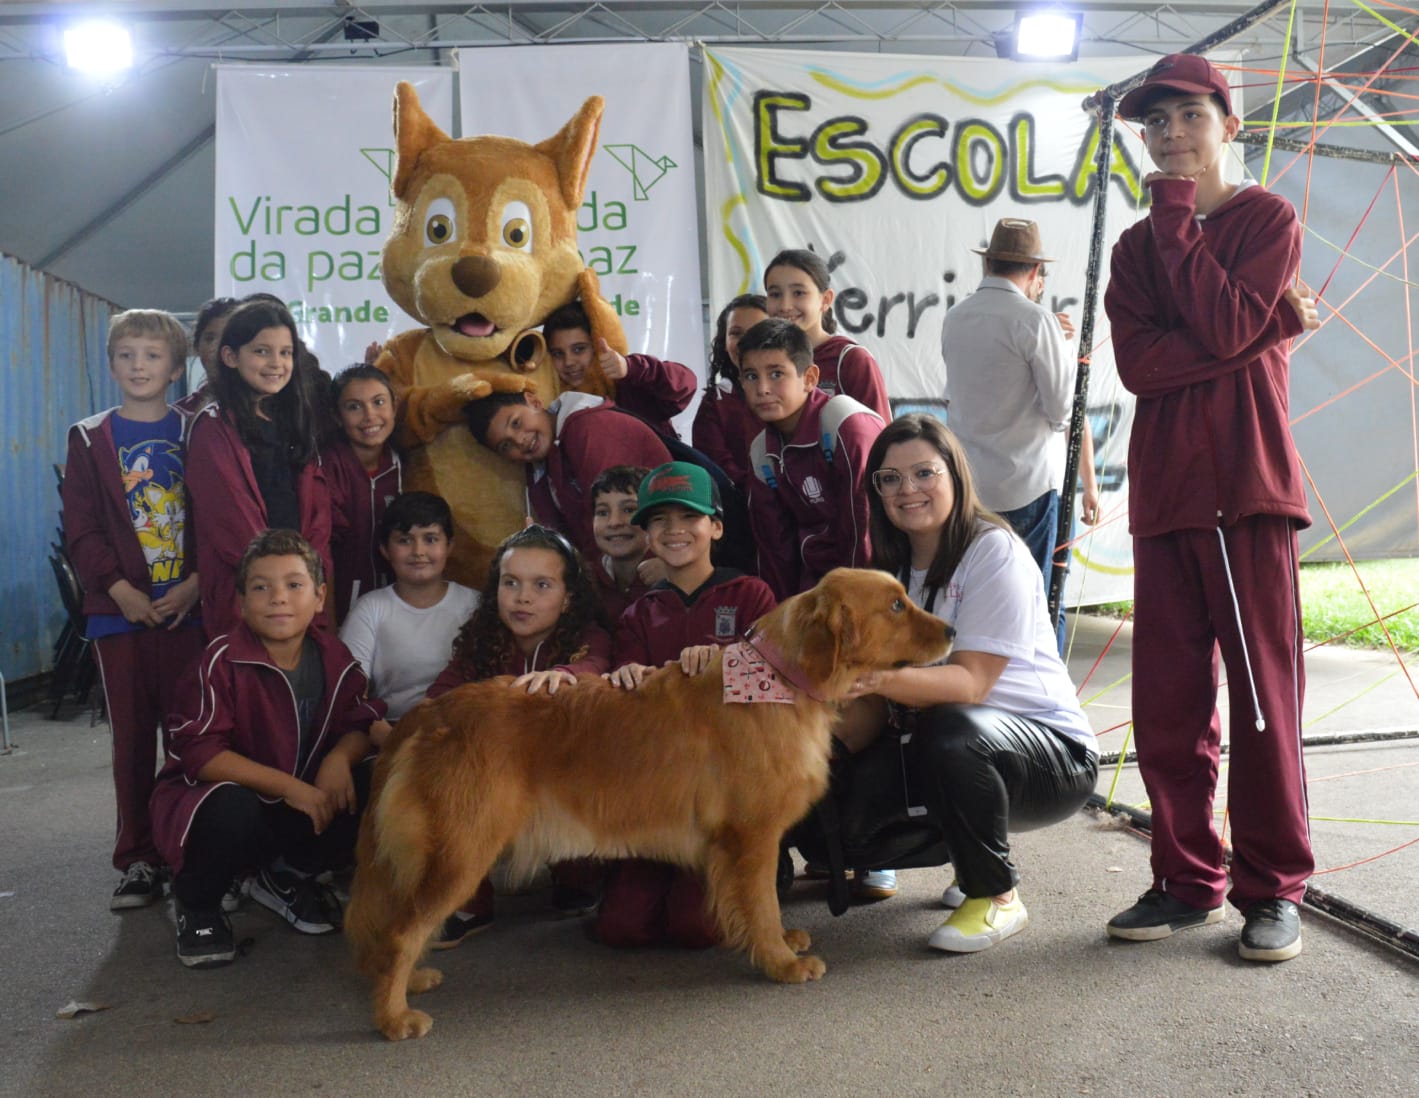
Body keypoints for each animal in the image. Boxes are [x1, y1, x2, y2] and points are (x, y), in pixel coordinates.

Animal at [346, 567, 953, 1038]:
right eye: (896, 604)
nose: (951, 629)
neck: (778, 680)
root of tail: (430, 711)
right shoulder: (751, 836)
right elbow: (762, 903)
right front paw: (780, 961)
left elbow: (765, 906)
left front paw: (781, 942)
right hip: (461, 855)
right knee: (401, 932)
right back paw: (393, 1015)